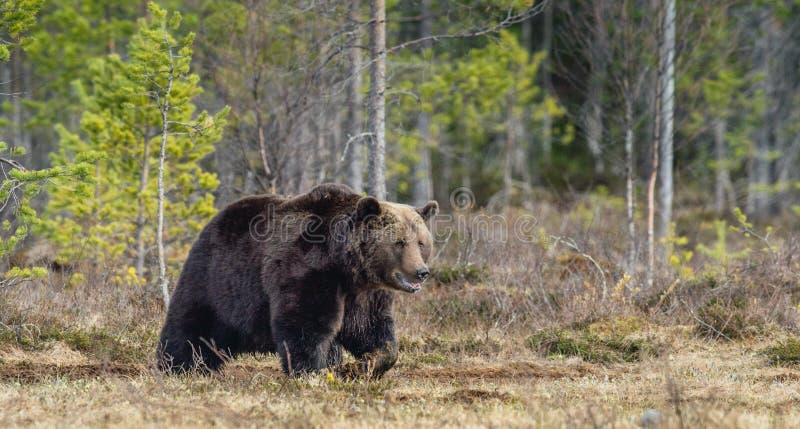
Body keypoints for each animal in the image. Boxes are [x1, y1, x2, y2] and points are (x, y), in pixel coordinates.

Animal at [156, 183, 438, 378]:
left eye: (421, 242)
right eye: (399, 242)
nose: (421, 272)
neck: (347, 267)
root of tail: (215, 218)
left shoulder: (365, 294)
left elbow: (371, 330)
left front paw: (358, 366)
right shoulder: (307, 269)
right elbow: (304, 323)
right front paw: (313, 372)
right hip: (218, 279)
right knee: (192, 324)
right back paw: (177, 365)